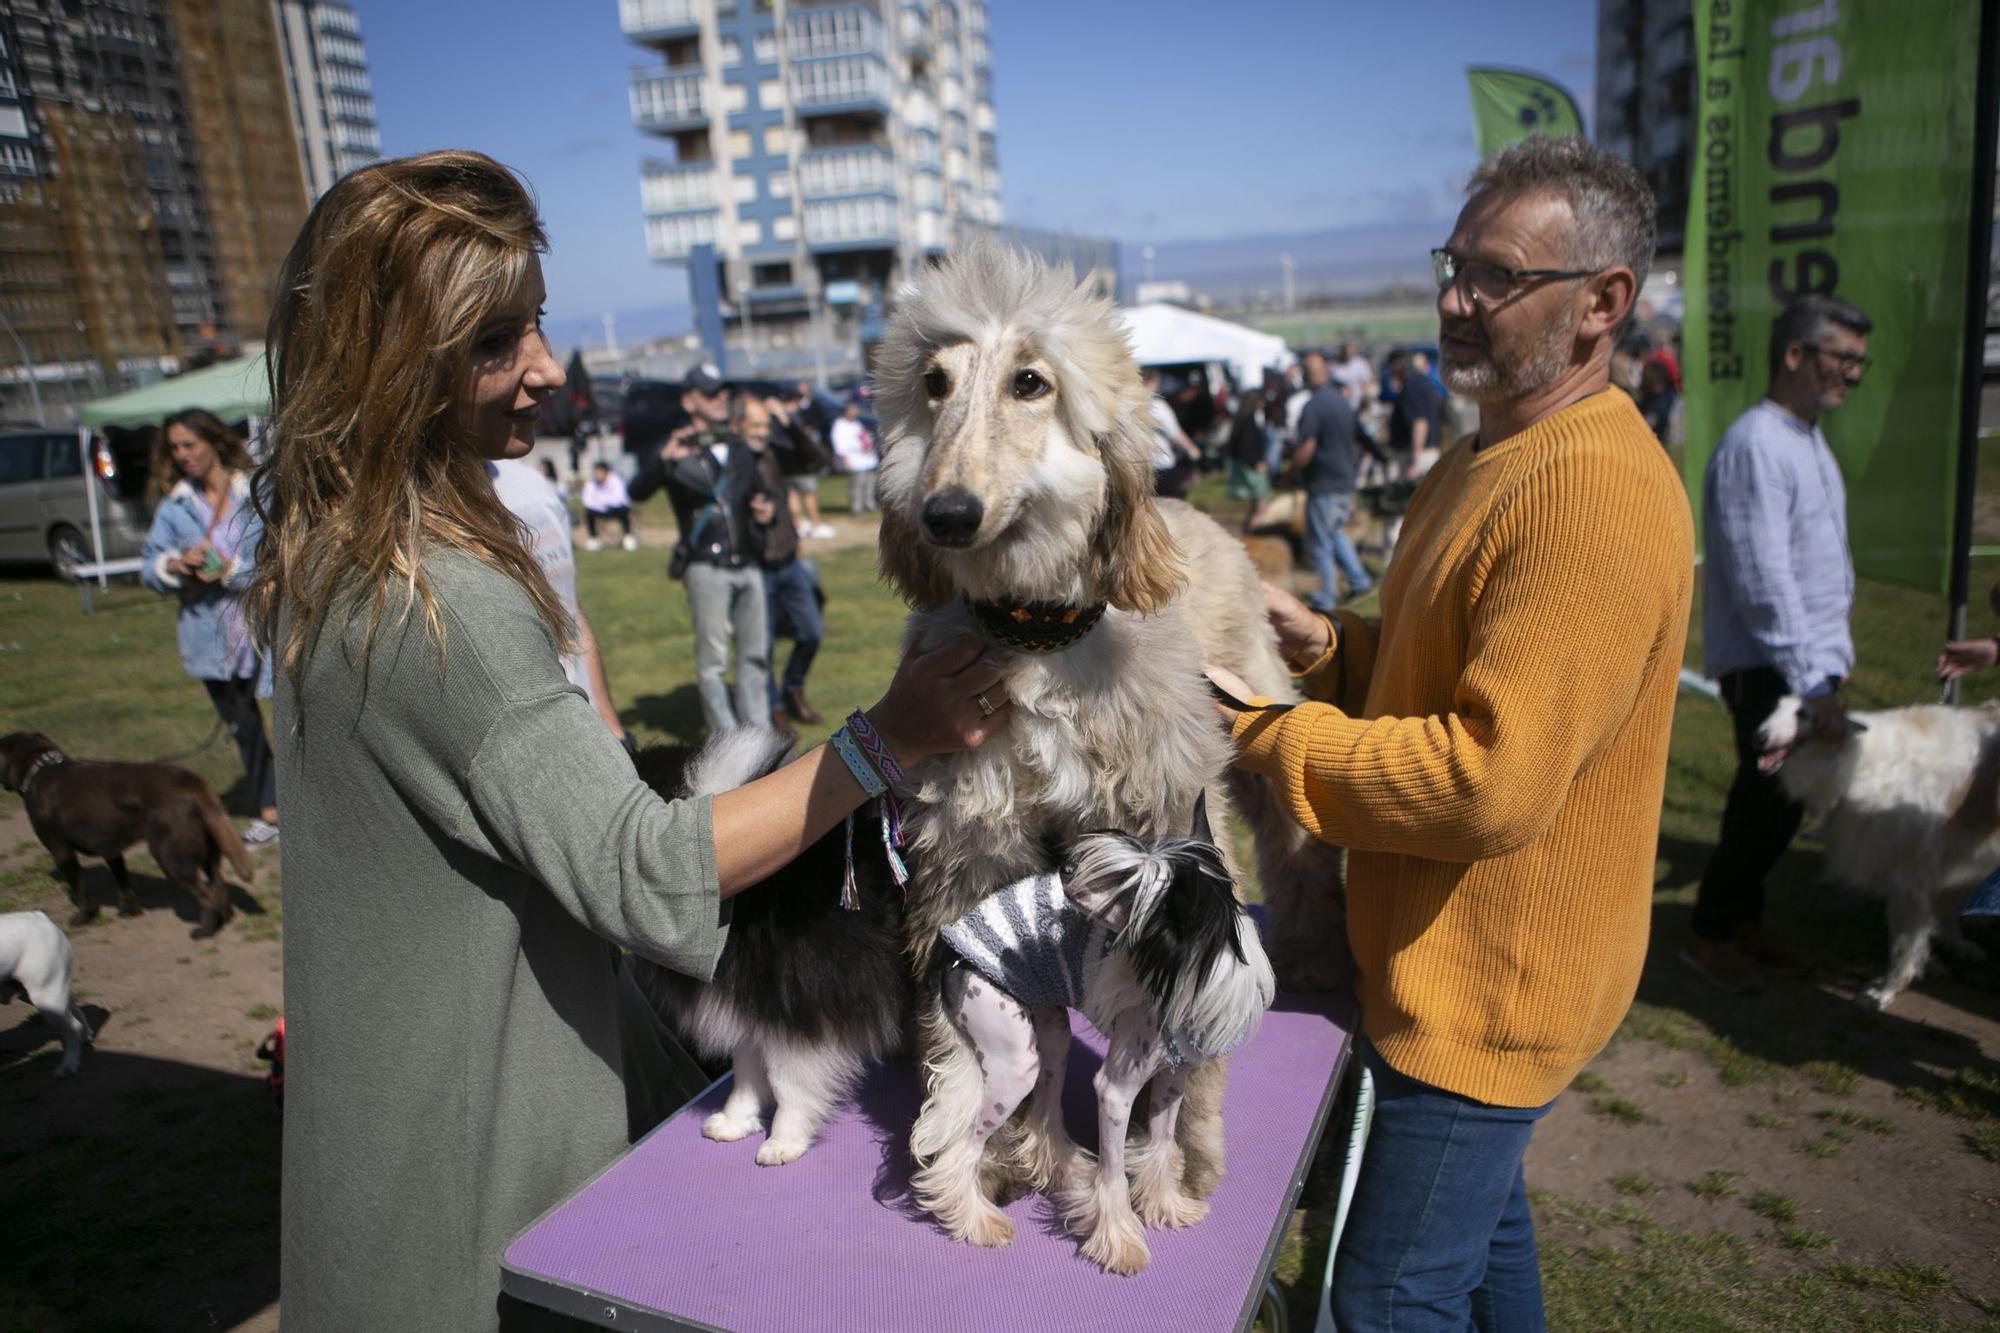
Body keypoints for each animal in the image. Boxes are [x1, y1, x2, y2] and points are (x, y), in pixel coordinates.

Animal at [0, 728, 252, 932]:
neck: (38, 770)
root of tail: (190, 782)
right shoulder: (111, 849)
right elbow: (123, 882)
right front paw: (130, 911)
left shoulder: (60, 850)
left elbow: (80, 889)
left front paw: (83, 917)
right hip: (207, 852)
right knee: (218, 887)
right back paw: (222, 919)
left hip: (171, 857)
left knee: (206, 896)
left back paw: (205, 930)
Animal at [0, 908, 93, 1072]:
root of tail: (40, 918)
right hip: (45, 993)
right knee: (74, 1008)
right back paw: (86, 1035)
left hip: (46, 998)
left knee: (73, 1028)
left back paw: (68, 1065)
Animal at [628, 728, 912, 1160]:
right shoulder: (751, 1000)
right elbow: (746, 1068)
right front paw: (735, 1121)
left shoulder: (799, 1000)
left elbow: (786, 1079)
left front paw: (783, 1140)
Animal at [1760, 696, 1992, 1008]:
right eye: (1777, 706)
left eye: (1803, 714)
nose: (1758, 736)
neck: (1857, 762)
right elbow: (1925, 930)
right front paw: (1932, 963)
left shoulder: (1908, 880)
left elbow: (1904, 946)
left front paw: (1886, 992)